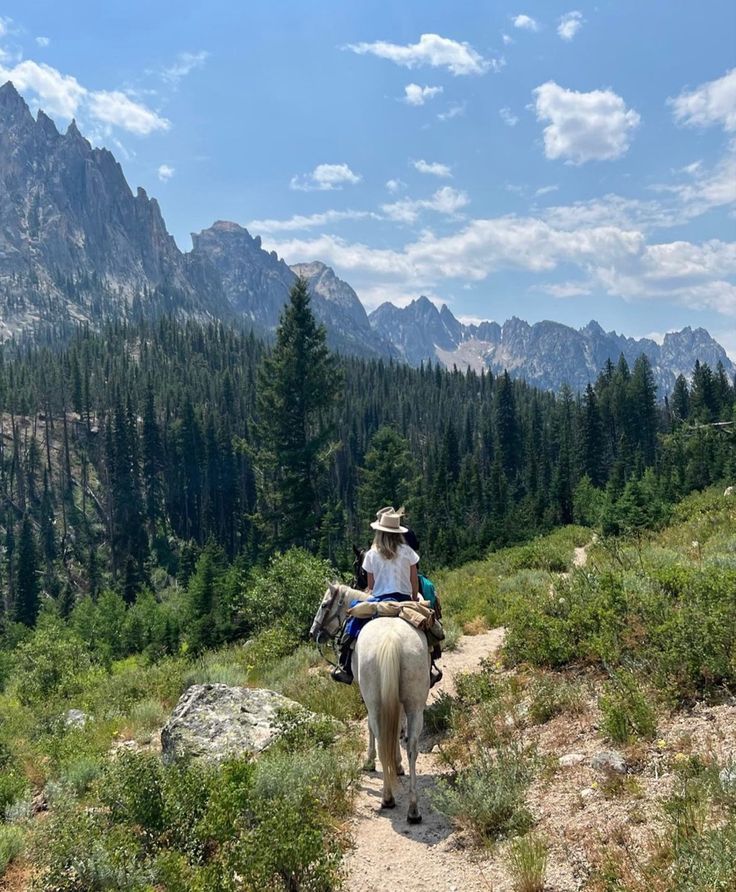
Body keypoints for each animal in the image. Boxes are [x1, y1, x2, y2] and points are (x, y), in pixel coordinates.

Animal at [310, 580, 432, 824]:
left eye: (324, 604)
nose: (313, 632)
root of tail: (391, 639)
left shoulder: (366, 695)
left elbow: (370, 727)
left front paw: (369, 762)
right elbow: (397, 726)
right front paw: (398, 764)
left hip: (375, 700)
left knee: (379, 733)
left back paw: (387, 798)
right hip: (415, 704)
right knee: (411, 746)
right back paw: (413, 810)